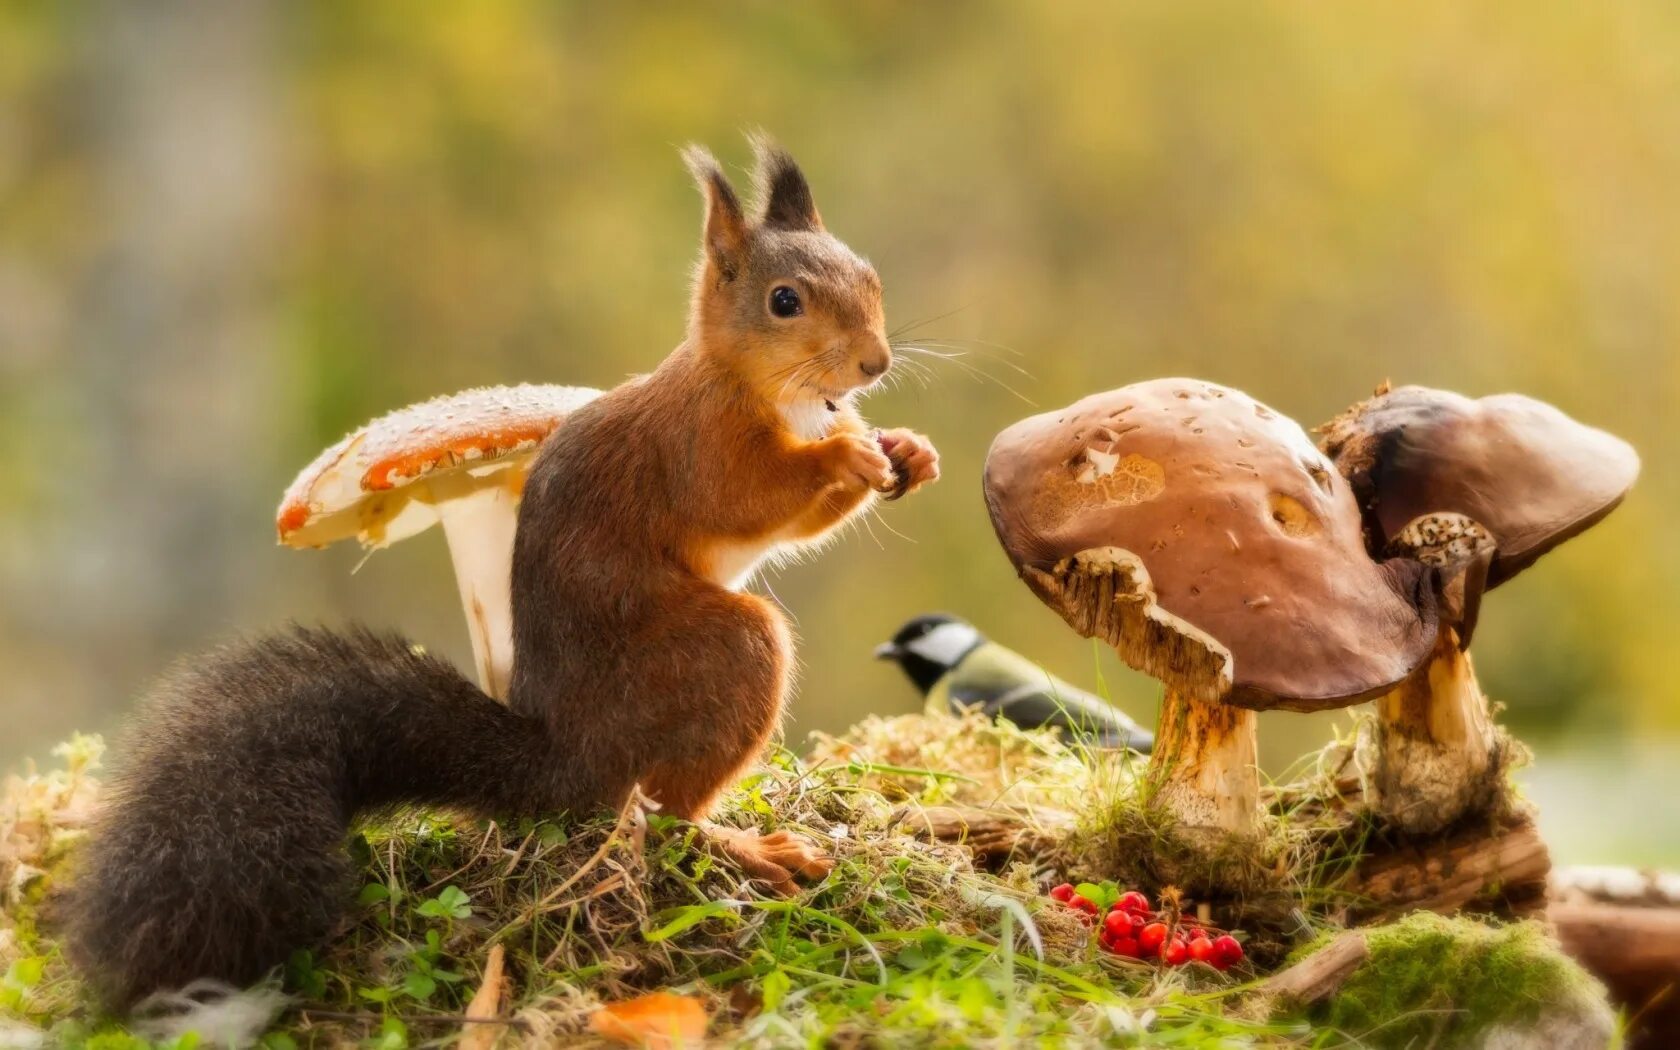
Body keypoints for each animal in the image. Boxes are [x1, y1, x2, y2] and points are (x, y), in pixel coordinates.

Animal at [65, 139, 940, 1007]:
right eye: (784, 301)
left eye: (869, 277)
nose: (875, 363)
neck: (776, 393)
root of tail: (570, 755)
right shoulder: (701, 445)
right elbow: (751, 498)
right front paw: (845, 454)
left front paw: (910, 451)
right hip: (719, 657)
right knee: (664, 814)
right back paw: (746, 848)